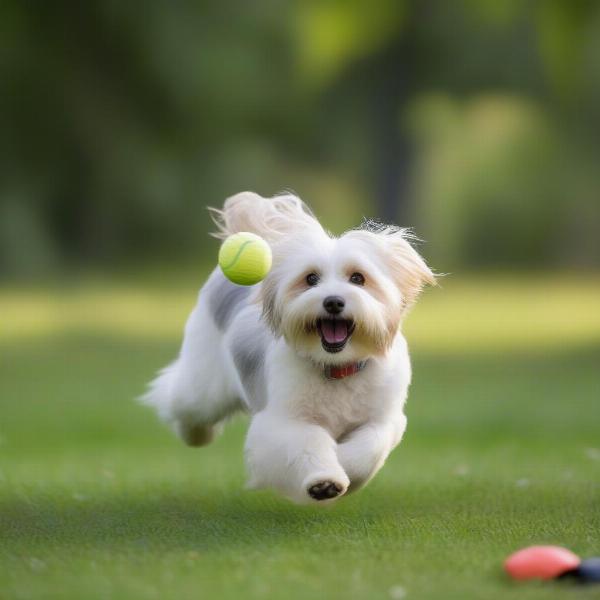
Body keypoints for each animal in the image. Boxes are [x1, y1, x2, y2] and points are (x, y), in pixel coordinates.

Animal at [144, 192, 436, 502]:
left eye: (358, 277)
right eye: (310, 279)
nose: (333, 301)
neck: (336, 369)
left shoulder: (383, 419)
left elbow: (368, 449)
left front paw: (343, 464)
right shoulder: (285, 422)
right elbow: (308, 445)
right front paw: (324, 482)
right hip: (204, 384)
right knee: (181, 400)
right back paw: (196, 435)